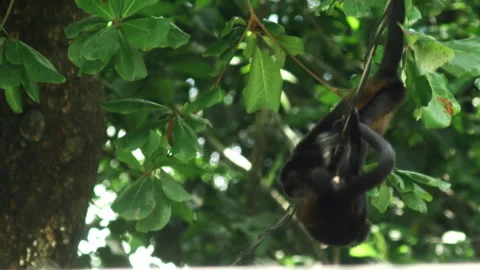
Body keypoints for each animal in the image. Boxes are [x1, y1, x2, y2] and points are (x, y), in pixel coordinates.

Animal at [280, 0, 406, 247]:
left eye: (292, 186)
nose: (292, 192)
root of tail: (382, 78)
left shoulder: (306, 161)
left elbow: (321, 148)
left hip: (385, 97)